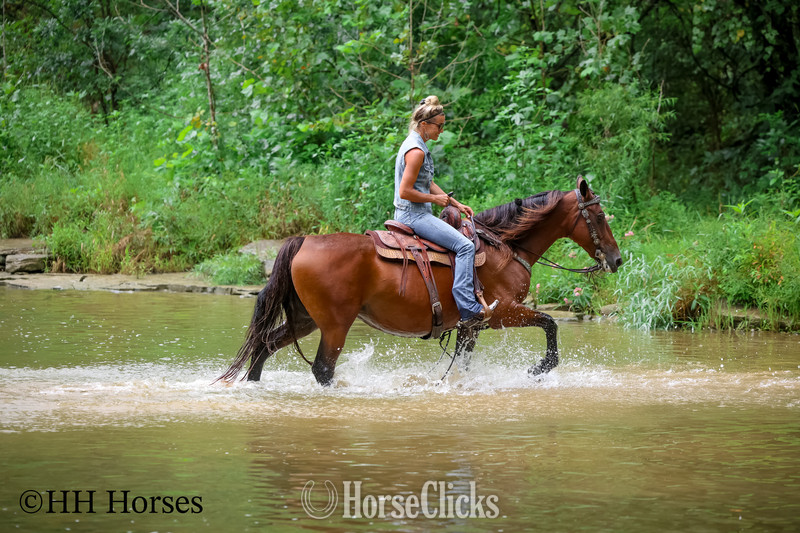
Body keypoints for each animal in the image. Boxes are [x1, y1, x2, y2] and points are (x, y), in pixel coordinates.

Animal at [217, 176, 622, 386]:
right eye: (600, 216)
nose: (617, 259)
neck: (506, 248)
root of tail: (303, 241)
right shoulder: (500, 313)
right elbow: (550, 323)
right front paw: (539, 368)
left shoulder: (471, 326)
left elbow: (464, 364)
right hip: (334, 324)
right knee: (321, 368)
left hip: (305, 318)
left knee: (265, 345)